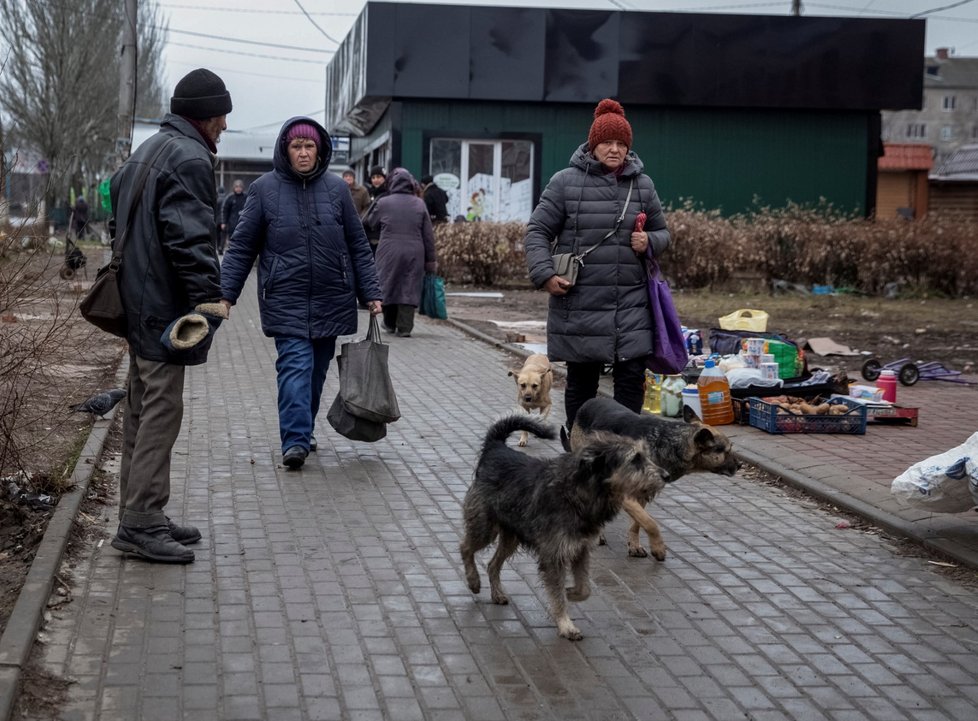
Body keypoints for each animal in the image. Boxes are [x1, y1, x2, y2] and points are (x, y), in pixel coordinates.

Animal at [560, 396, 736, 560]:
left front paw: (634, 546)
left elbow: (638, 523)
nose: (740, 464)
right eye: (726, 451)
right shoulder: (625, 495)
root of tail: (590, 401)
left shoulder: (643, 495)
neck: (669, 443)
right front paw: (658, 548)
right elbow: (651, 523)